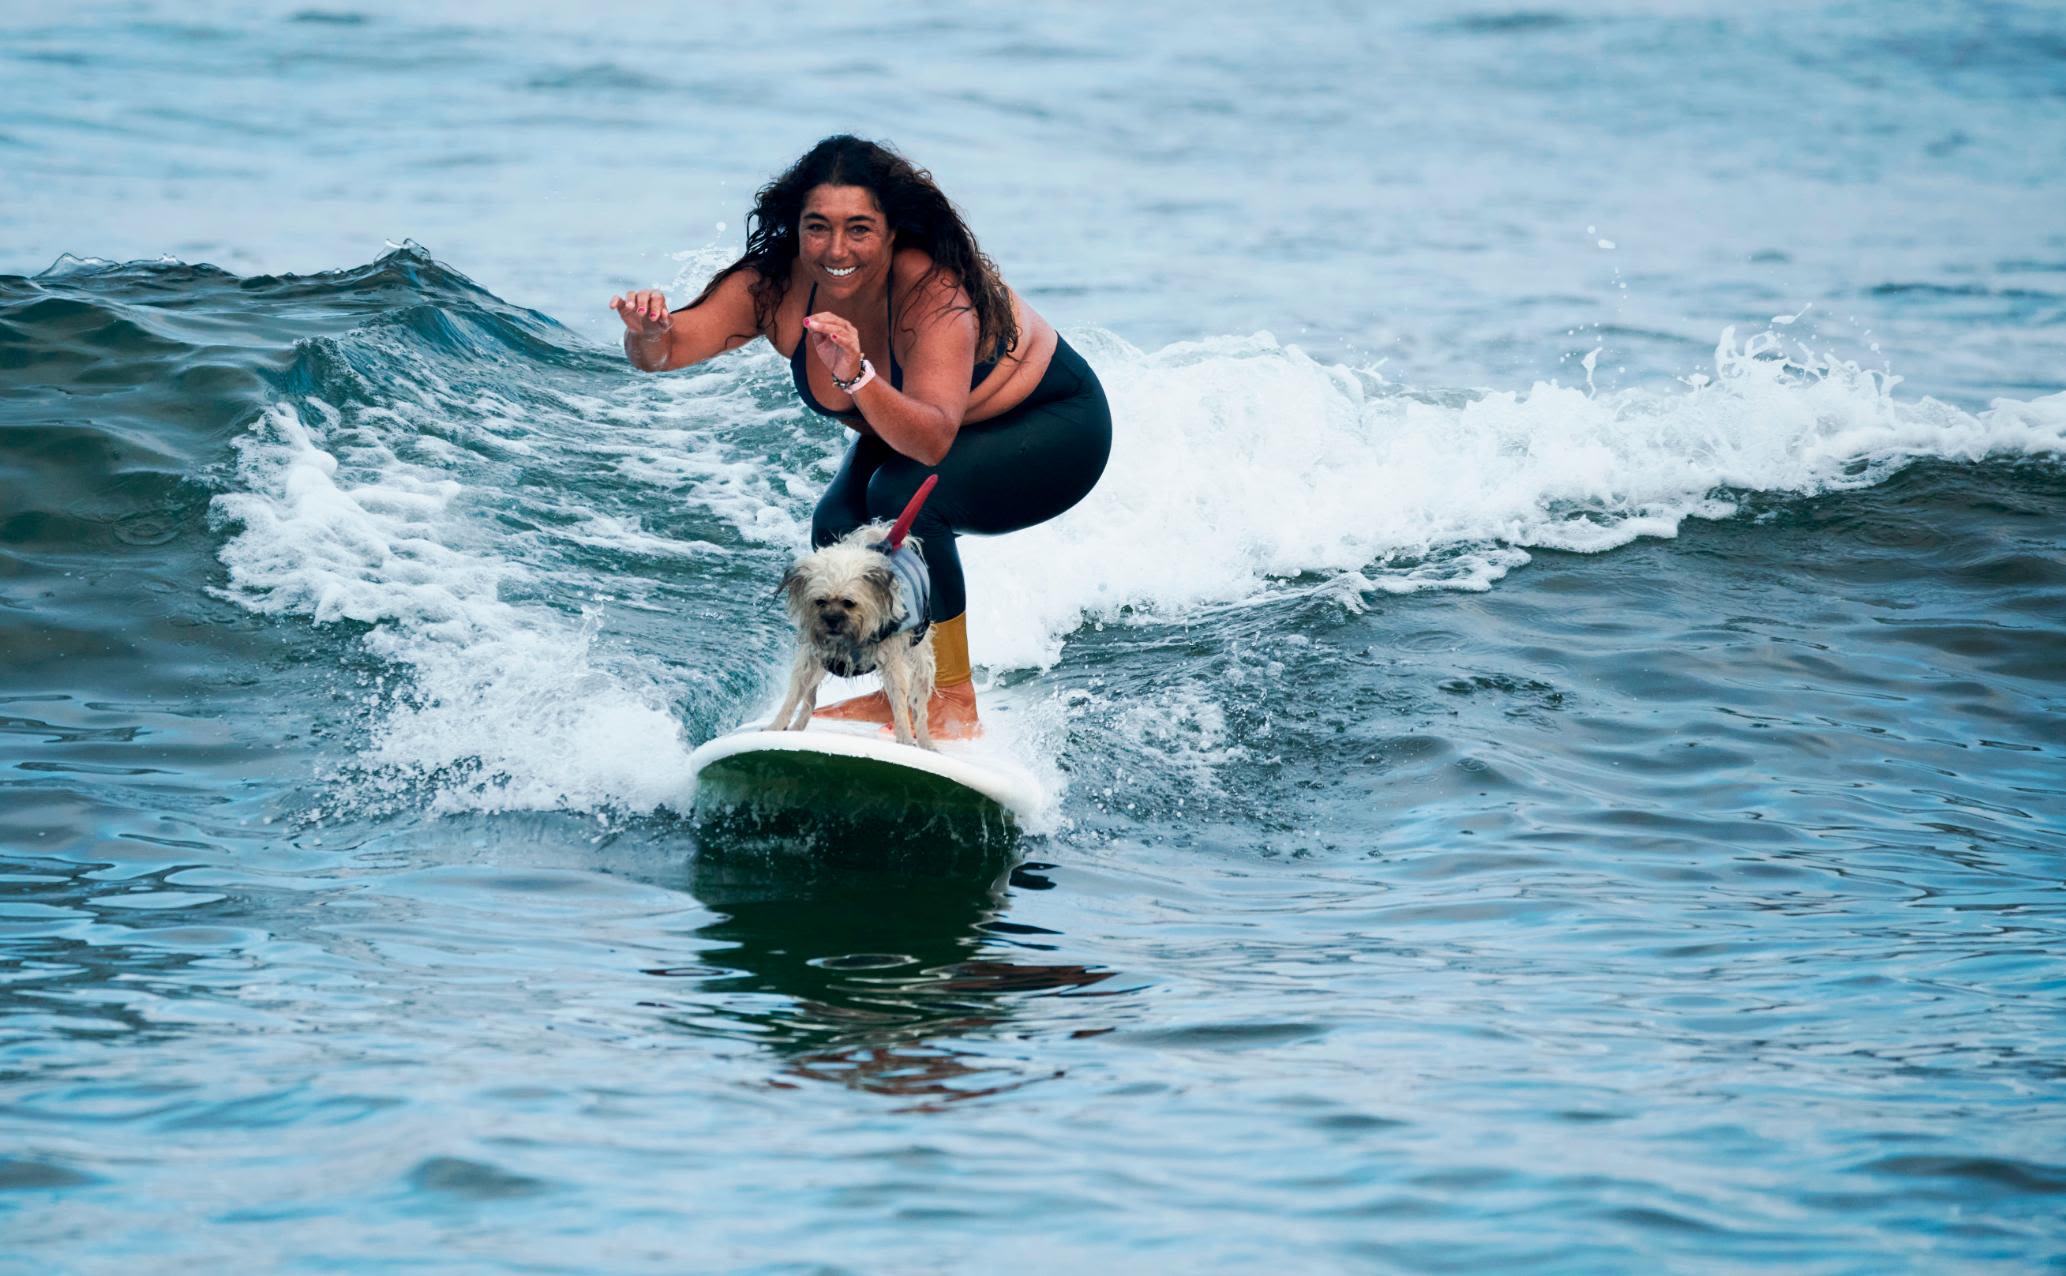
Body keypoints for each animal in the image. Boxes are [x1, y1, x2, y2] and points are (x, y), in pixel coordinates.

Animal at [772, 522, 942, 743]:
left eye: (849, 603)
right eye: (820, 602)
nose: (831, 620)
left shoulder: (893, 662)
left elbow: (899, 702)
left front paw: (904, 737)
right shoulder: (812, 659)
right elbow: (793, 696)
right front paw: (775, 727)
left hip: (922, 664)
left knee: (920, 709)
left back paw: (925, 742)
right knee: (810, 699)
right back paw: (797, 726)